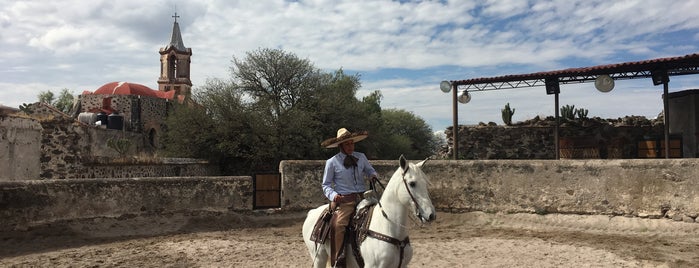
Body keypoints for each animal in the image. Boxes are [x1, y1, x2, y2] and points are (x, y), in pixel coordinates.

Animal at [302, 156, 434, 266]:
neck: (387, 227)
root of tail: (312, 212)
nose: (431, 215)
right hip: (318, 258)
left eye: (426, 183)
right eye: (412, 183)